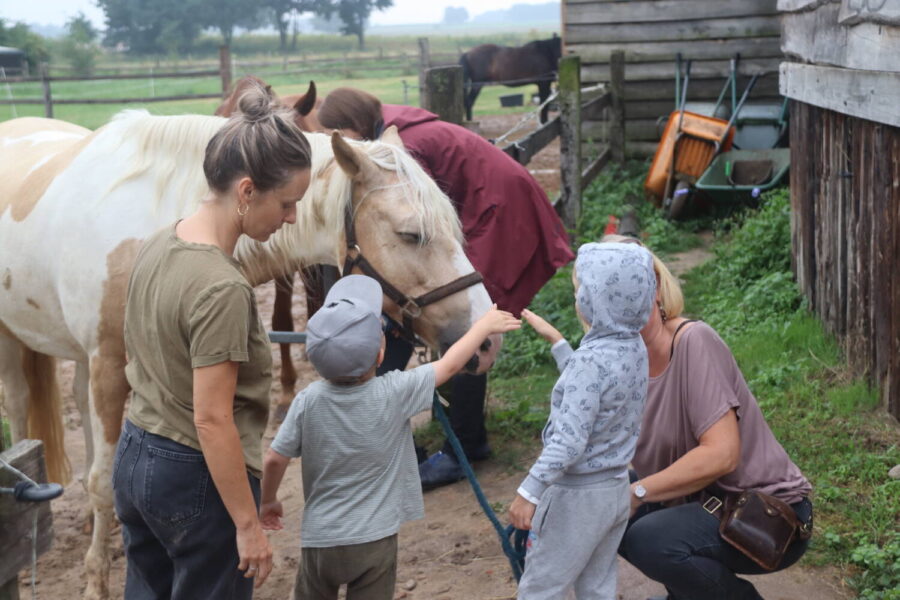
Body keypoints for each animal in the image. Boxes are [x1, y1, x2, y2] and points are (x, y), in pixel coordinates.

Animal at [0, 111, 500, 596]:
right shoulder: (108, 364)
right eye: (411, 234)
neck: (159, 222)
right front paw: (94, 583)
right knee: (21, 415)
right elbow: (104, 481)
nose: (487, 339)